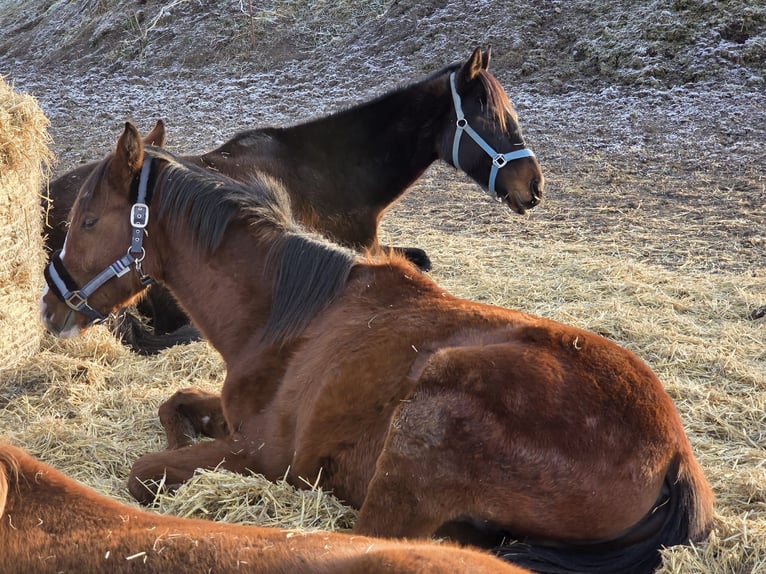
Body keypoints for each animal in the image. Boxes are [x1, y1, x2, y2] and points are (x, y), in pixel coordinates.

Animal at [40, 123, 712, 573]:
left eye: (87, 221)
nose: (51, 307)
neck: (287, 317)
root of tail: (674, 457)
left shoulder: (263, 455)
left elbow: (145, 473)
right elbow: (173, 403)